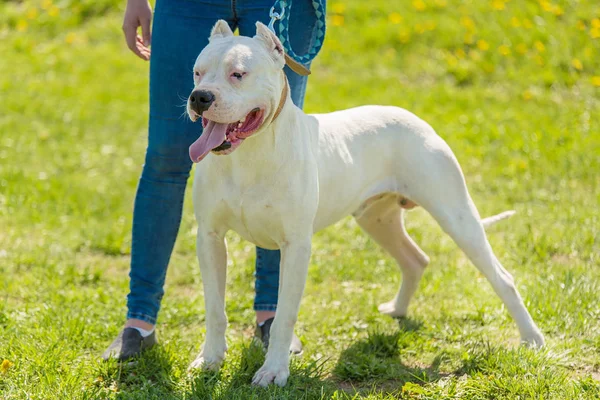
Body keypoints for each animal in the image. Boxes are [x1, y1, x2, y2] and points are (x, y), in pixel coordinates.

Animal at [186, 21, 544, 388]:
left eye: (238, 74)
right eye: (197, 72)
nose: (200, 97)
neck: (247, 156)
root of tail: (416, 118)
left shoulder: (296, 246)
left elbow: (284, 313)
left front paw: (274, 370)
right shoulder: (210, 238)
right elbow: (214, 307)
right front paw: (210, 359)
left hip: (456, 216)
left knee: (502, 277)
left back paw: (532, 338)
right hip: (377, 220)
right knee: (415, 259)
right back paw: (398, 310)